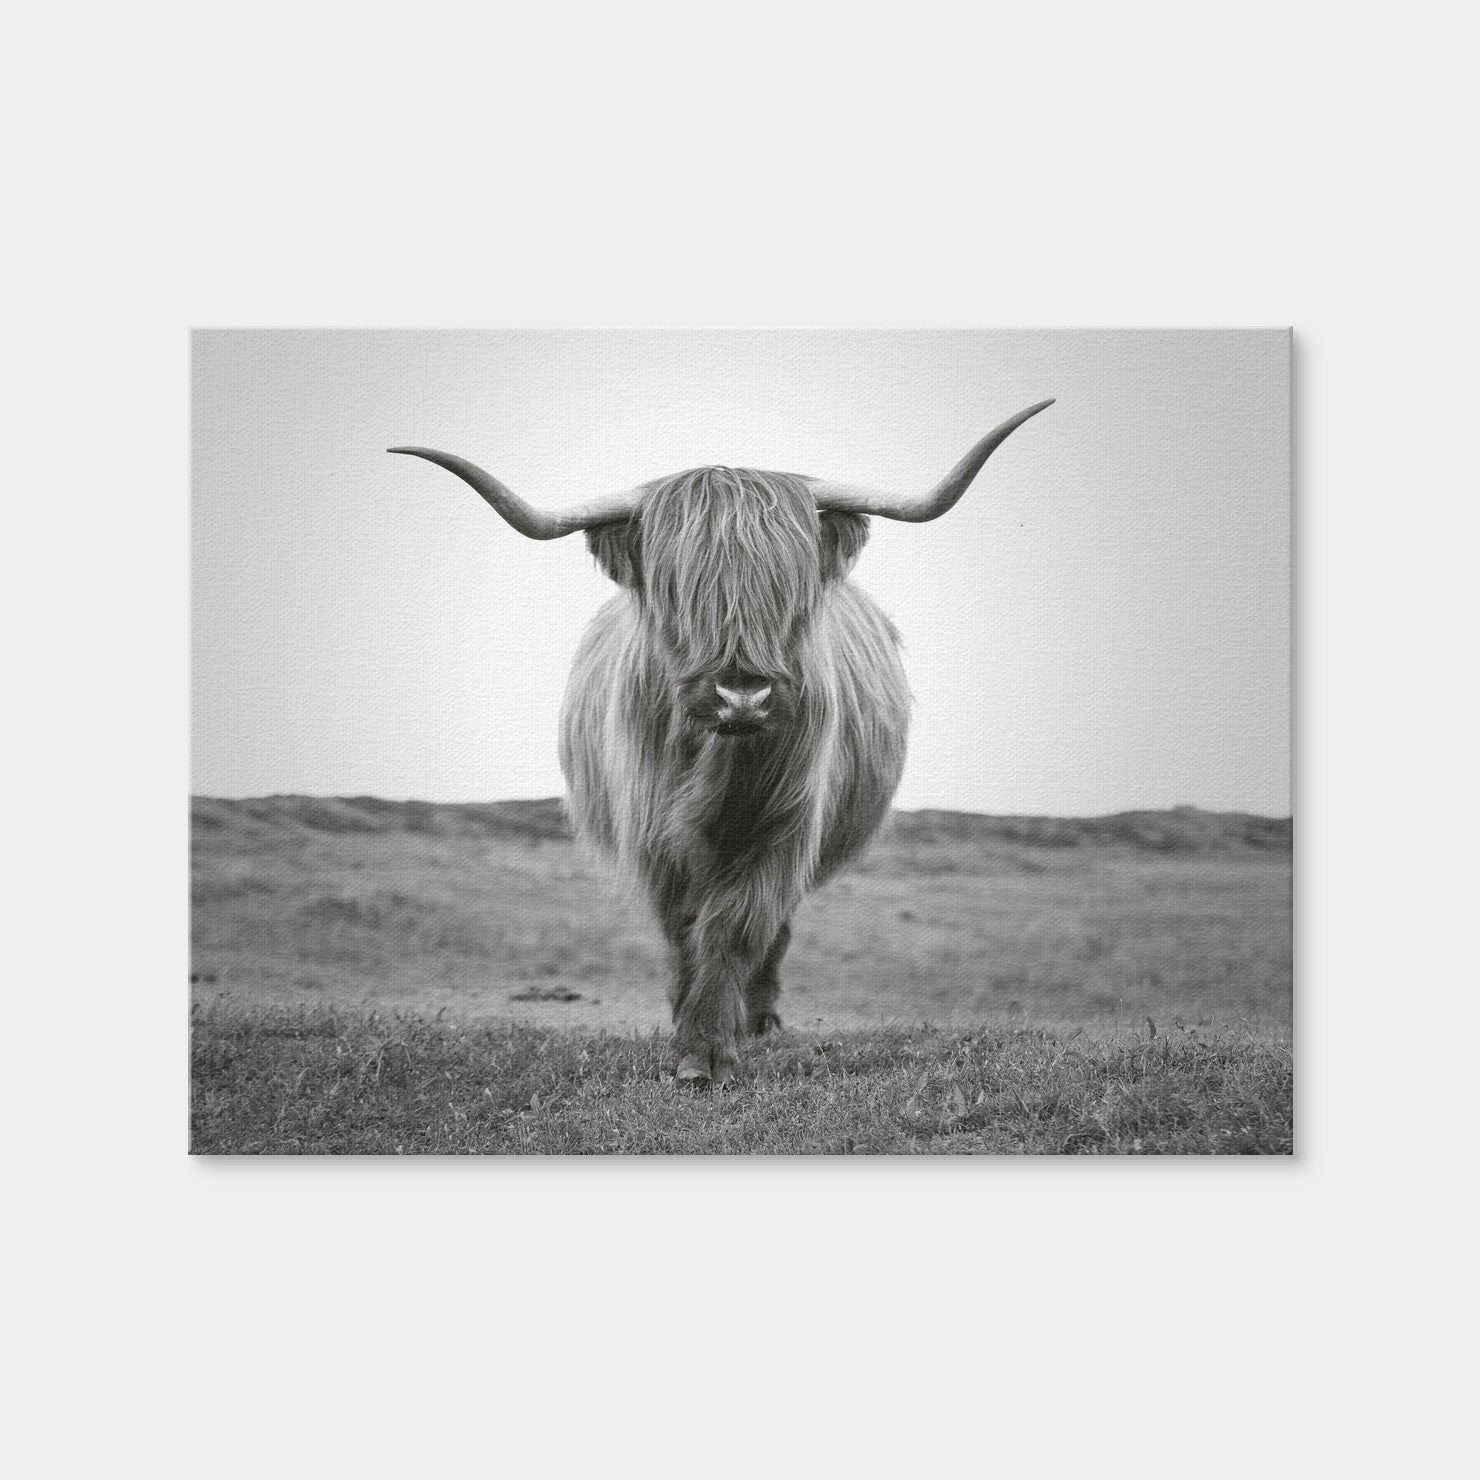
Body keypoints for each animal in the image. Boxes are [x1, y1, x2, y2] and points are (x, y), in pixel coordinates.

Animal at [390, 399, 1053, 1085]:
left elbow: (736, 925)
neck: (716, 761)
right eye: (677, 589)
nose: (742, 695)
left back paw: (758, 1019)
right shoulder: (654, 833)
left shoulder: (783, 826)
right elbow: (684, 927)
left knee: (774, 931)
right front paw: (688, 1033)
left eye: (789, 587)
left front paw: (709, 1046)